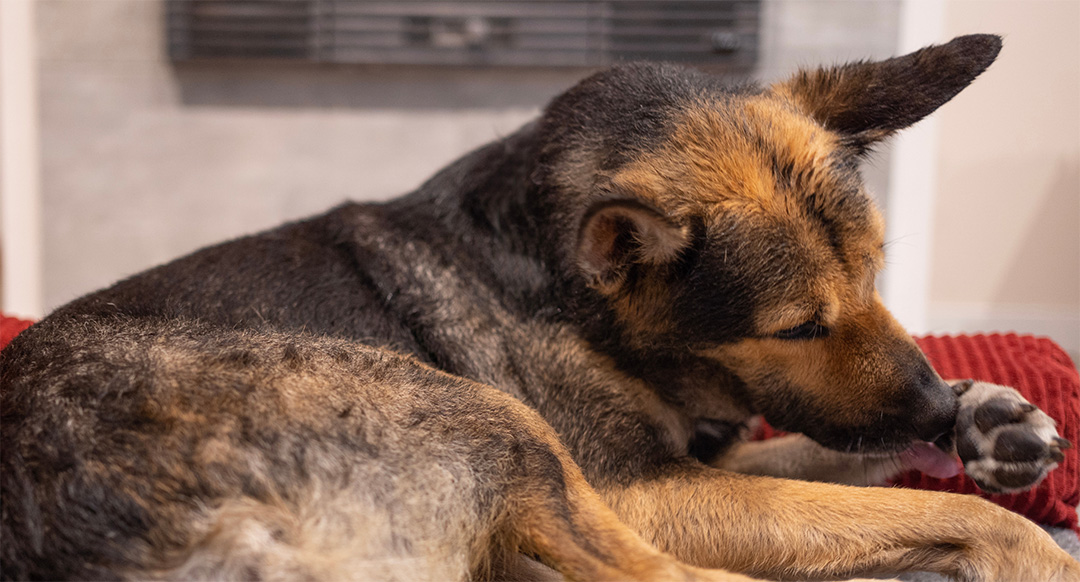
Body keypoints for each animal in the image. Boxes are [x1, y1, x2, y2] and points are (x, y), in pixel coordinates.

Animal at [2, 35, 1080, 582]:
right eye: (797, 327)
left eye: (876, 277)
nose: (932, 408)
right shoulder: (644, 491)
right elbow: (932, 507)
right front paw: (1017, 536)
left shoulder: (695, 462)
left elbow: (834, 457)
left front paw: (989, 414)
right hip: (496, 420)